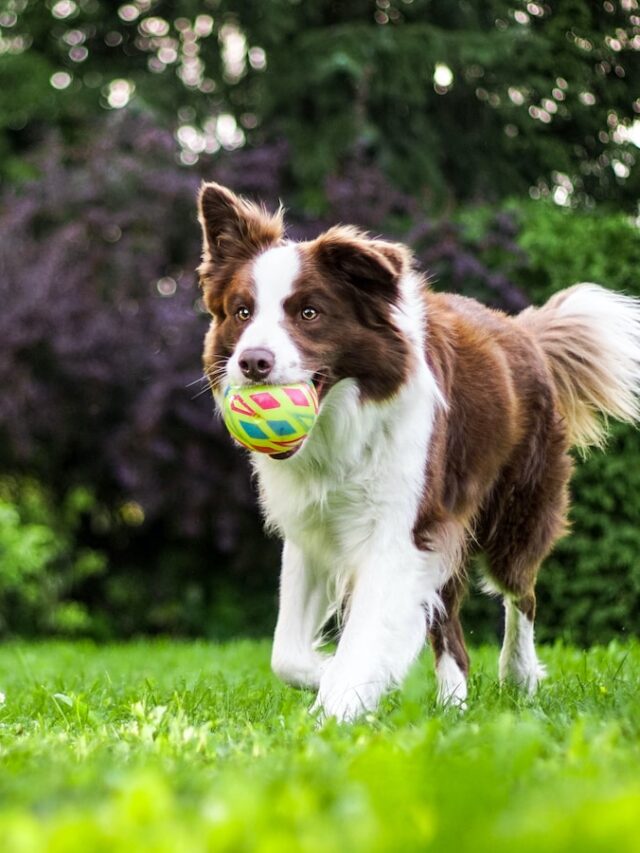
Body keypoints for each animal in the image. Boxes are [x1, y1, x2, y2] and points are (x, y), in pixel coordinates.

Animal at [198, 183, 636, 724]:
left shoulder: (401, 529)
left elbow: (365, 635)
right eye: (242, 312)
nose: (253, 362)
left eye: (309, 313)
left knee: (522, 593)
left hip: (515, 511)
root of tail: (524, 331)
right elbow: (287, 654)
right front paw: (334, 677)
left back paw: (519, 675)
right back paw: (453, 704)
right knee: (450, 627)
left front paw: (337, 707)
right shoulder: (314, 529)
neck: (341, 424)